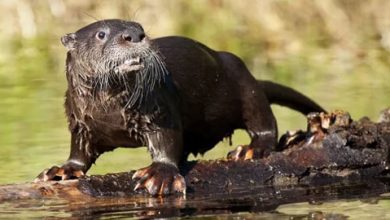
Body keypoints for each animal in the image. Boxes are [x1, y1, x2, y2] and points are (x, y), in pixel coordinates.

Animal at [36, 19, 324, 196]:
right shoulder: (79, 121)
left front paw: (159, 175)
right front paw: (62, 170)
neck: (108, 113)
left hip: (242, 79)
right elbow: (79, 150)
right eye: (101, 34)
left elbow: (167, 140)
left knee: (263, 120)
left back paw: (252, 149)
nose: (135, 35)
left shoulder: (159, 108)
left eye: (139, 27)